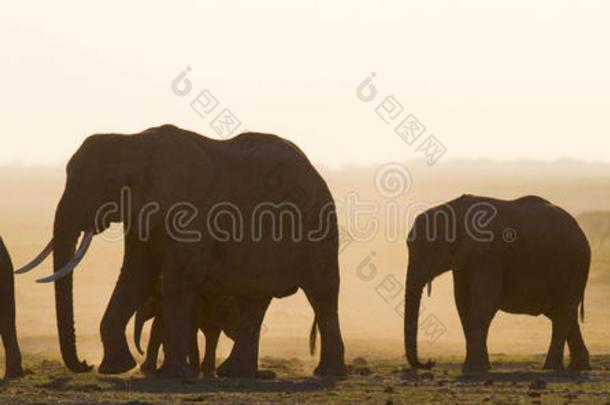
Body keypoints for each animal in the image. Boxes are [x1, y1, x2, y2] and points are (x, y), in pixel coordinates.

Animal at [16, 124, 344, 378]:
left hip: (318, 225)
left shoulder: (190, 212)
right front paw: (115, 368)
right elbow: (135, 277)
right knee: (253, 299)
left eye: (110, 182)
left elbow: (178, 279)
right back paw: (235, 373)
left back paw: (327, 373)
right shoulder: (141, 214)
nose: (85, 364)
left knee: (322, 293)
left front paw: (172, 375)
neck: (136, 142)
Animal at [404, 194, 588, 370]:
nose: (430, 362)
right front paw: (483, 367)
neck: (458, 211)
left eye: (433, 248)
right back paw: (577, 367)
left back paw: (552, 368)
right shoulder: (464, 261)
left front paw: (473, 369)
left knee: (563, 313)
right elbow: (463, 302)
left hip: (577, 266)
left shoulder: (488, 254)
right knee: (564, 314)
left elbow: (484, 301)